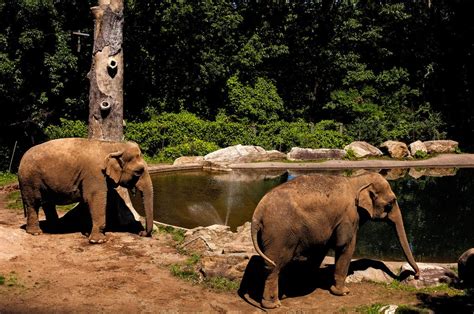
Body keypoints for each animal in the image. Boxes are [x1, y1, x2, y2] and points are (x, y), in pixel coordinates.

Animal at [16, 137, 153, 243]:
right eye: (138, 172)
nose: (141, 233)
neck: (112, 145)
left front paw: (87, 233)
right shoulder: (95, 174)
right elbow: (95, 198)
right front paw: (98, 240)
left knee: (48, 203)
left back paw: (56, 228)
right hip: (29, 180)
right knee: (33, 203)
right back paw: (35, 232)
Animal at [250, 170, 420, 308]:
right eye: (390, 203)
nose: (415, 275)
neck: (356, 181)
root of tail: (258, 212)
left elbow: (321, 249)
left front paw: (307, 282)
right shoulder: (348, 216)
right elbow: (345, 246)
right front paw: (343, 292)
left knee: (269, 264)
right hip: (279, 234)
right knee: (275, 265)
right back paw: (273, 304)